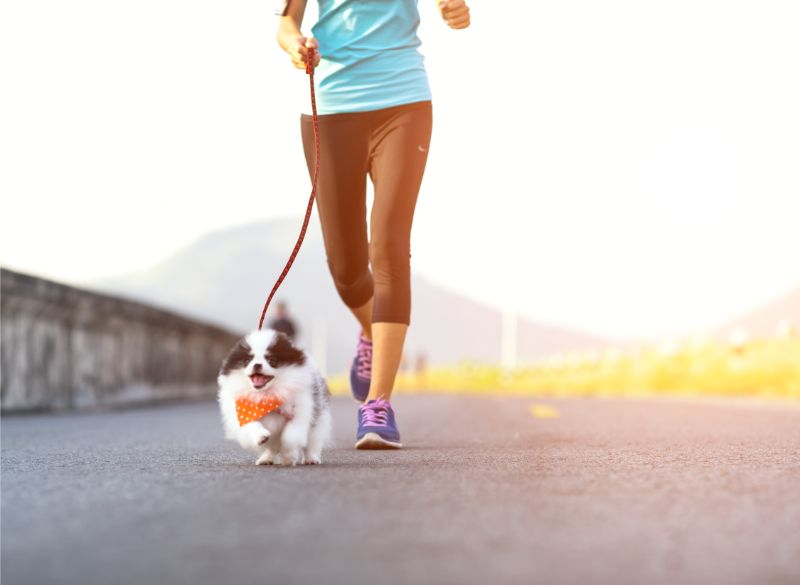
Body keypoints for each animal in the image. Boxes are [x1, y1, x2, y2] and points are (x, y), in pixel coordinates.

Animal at [216, 328, 332, 466]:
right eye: (247, 361)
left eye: (272, 361)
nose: (257, 364)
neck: (267, 395)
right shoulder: (242, 412)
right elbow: (252, 426)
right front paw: (261, 436)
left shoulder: (300, 410)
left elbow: (290, 436)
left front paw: (289, 455)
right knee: (271, 448)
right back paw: (266, 459)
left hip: (317, 422)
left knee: (311, 443)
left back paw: (309, 459)